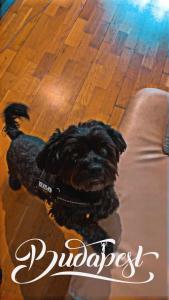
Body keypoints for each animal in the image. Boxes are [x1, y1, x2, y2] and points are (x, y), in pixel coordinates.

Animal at [3, 102, 126, 253]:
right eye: (74, 156)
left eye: (103, 149)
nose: (95, 169)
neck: (85, 194)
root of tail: (17, 135)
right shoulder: (65, 214)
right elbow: (88, 227)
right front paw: (104, 243)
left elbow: (111, 202)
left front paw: (102, 207)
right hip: (13, 166)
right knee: (12, 173)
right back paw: (14, 184)